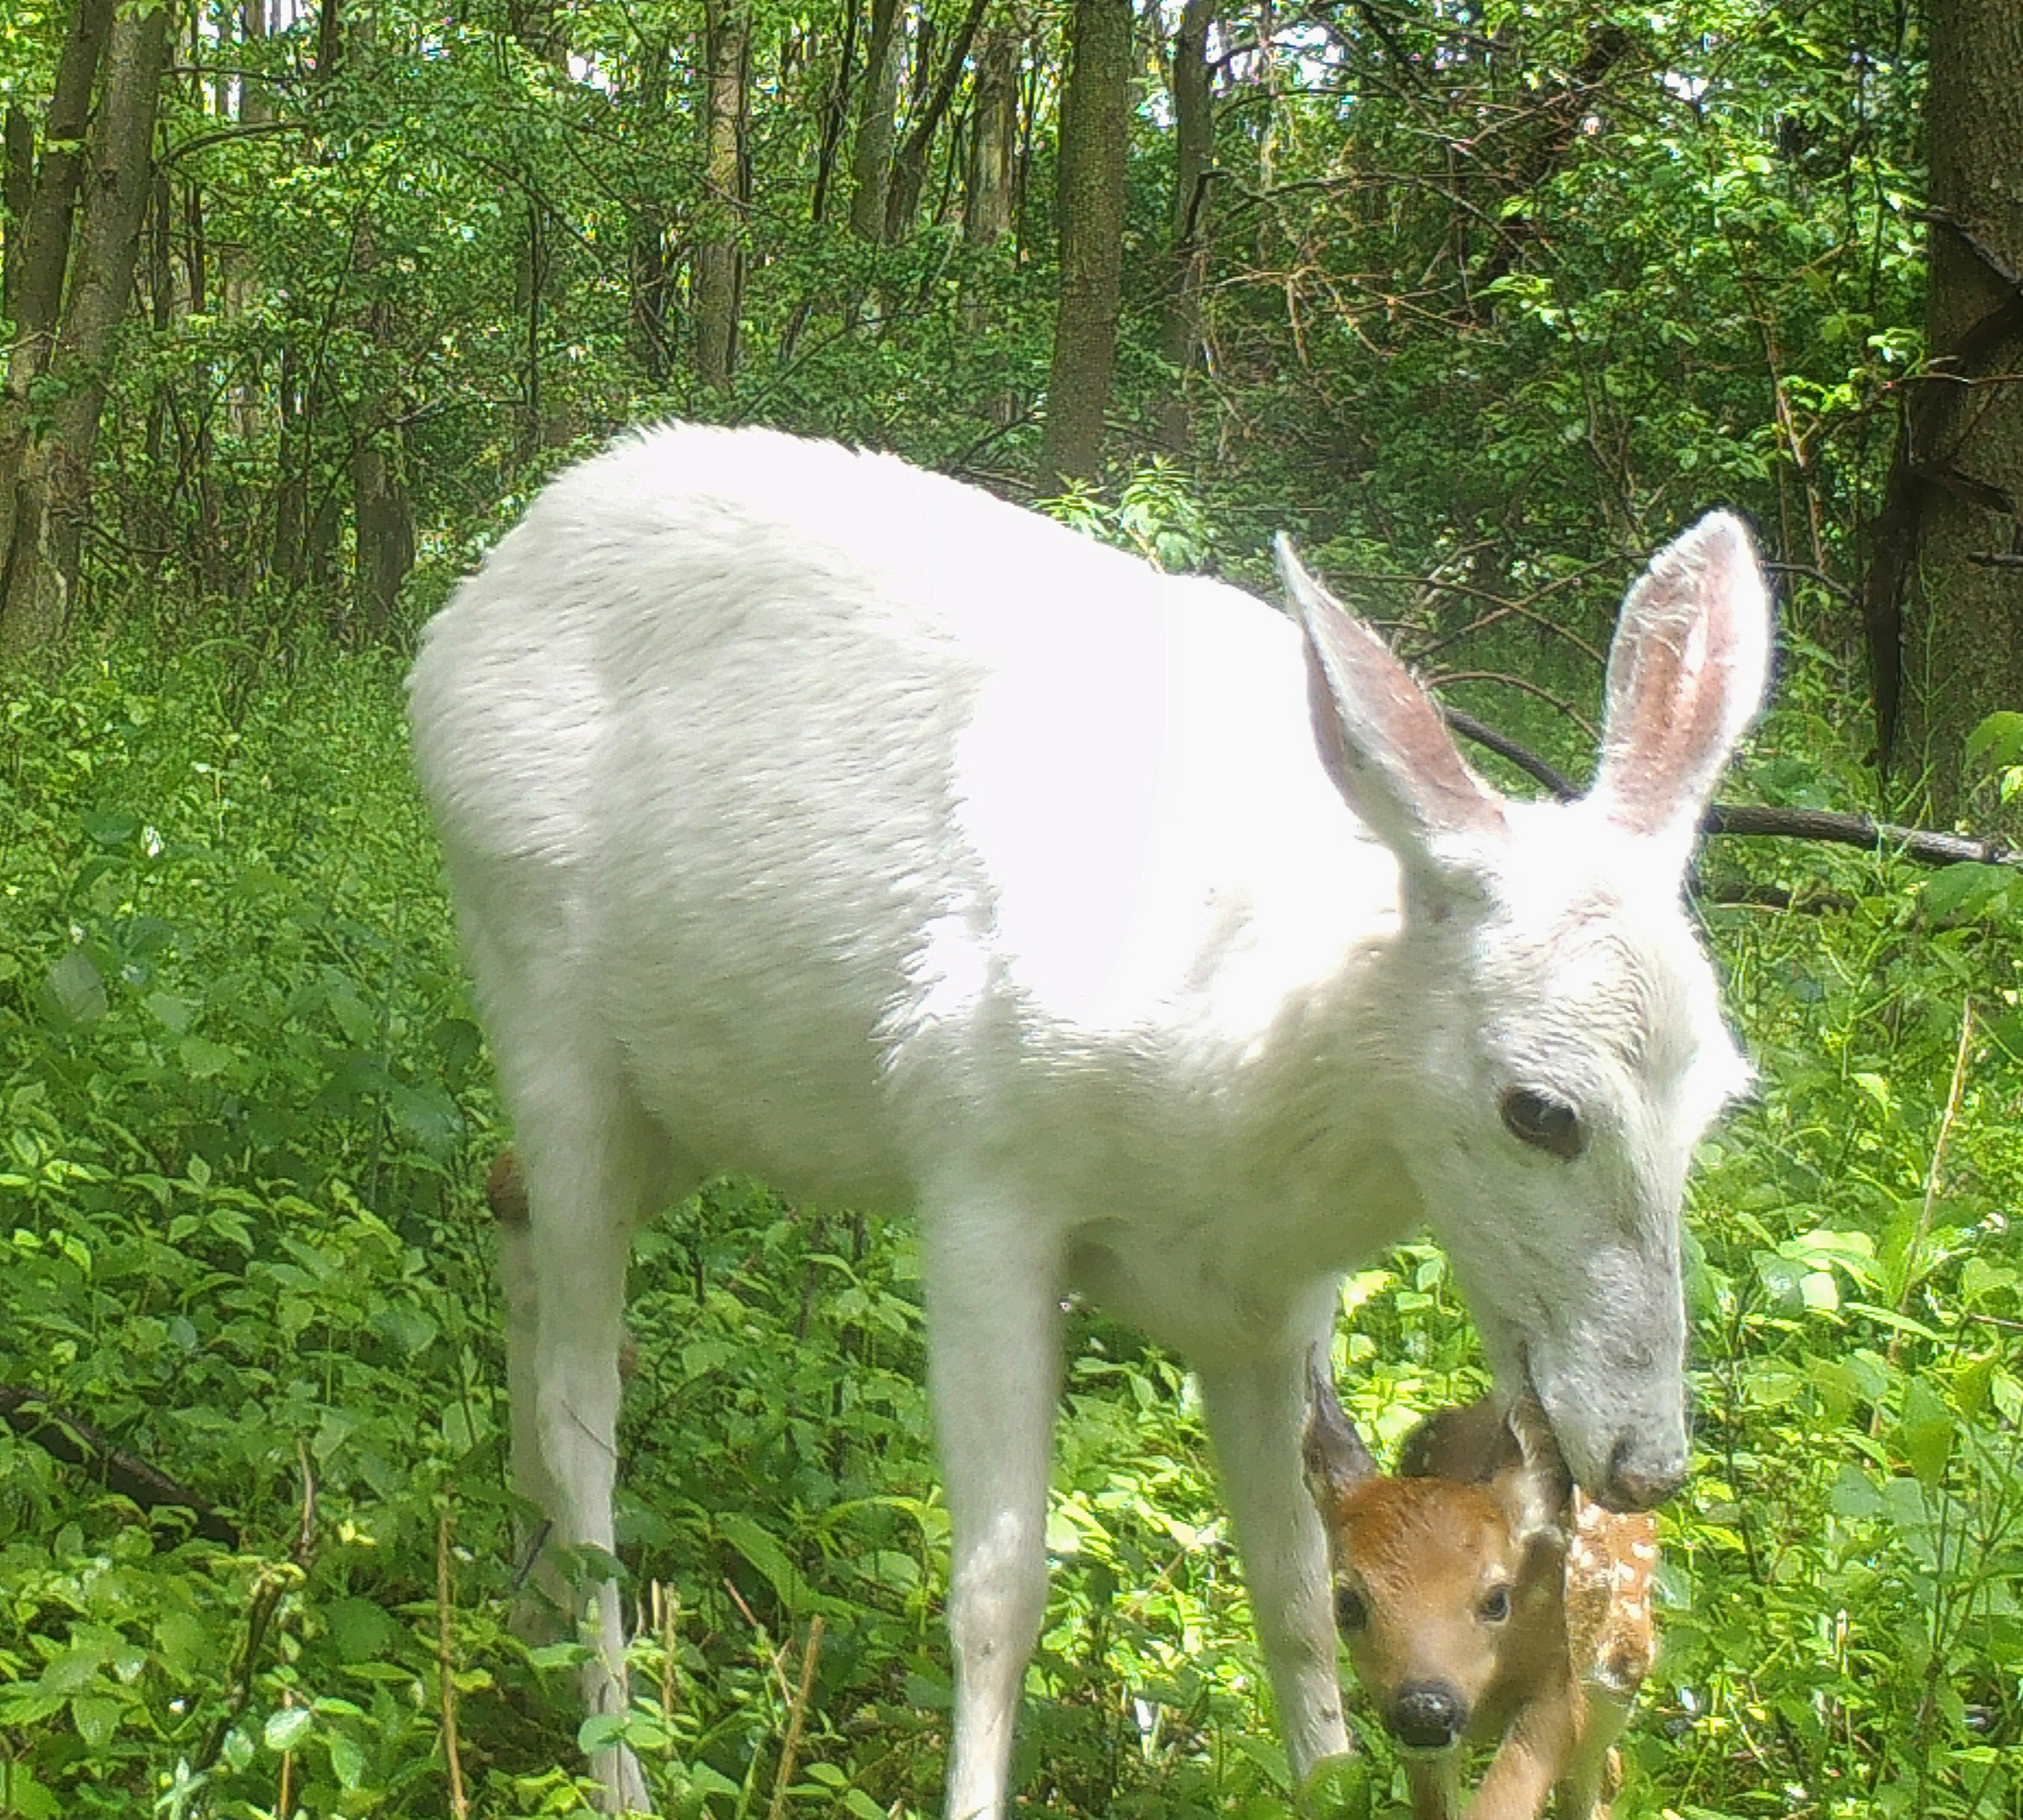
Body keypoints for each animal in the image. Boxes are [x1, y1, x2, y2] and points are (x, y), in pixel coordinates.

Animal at [410, 418, 1772, 1812]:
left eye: (1717, 1095)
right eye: (1537, 1108)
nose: (1647, 1458)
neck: (1248, 1077)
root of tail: (480, 586)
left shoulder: (1270, 1305)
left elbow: (1288, 1593)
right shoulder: (980, 1175)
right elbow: (998, 1587)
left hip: (696, 1098)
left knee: (510, 1207)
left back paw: (526, 1614)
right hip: (546, 1008)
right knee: (584, 1399)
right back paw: (613, 1751)